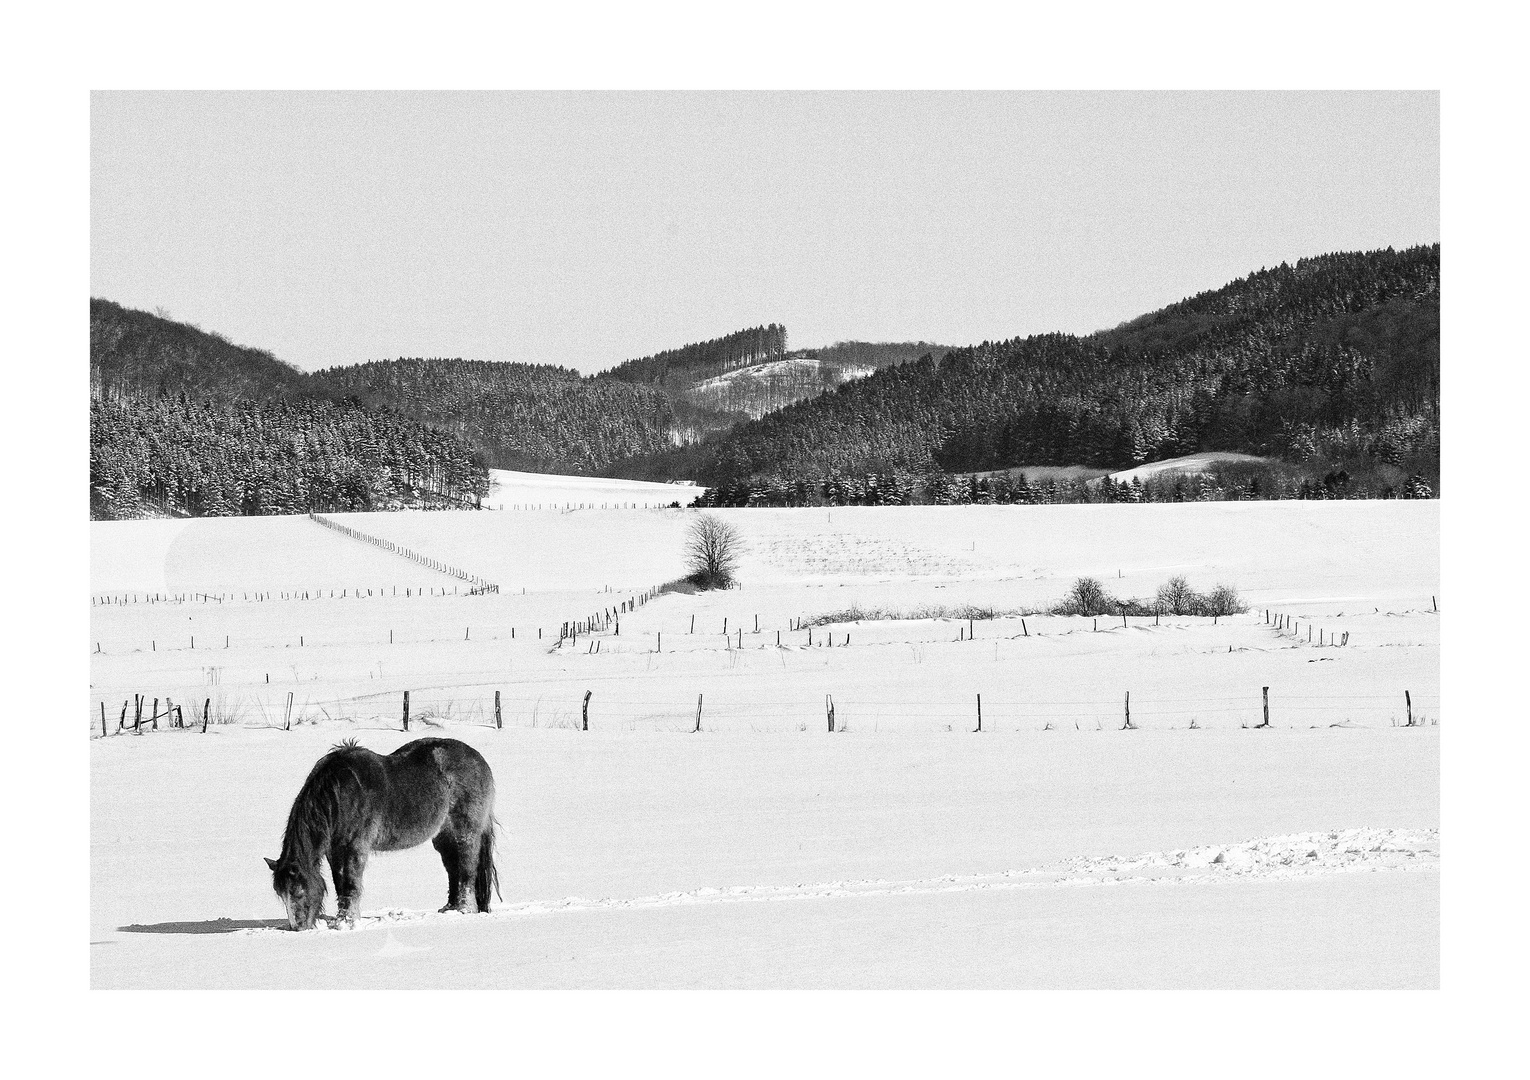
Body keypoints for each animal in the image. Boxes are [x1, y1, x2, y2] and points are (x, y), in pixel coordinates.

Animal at [266, 737, 498, 930]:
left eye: (298, 891)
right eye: (281, 894)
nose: (297, 927)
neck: (340, 793)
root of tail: (479, 760)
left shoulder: (355, 847)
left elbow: (351, 884)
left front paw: (347, 922)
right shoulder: (334, 850)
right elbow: (340, 883)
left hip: (465, 833)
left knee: (466, 870)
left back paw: (464, 909)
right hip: (443, 836)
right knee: (453, 869)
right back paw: (449, 909)